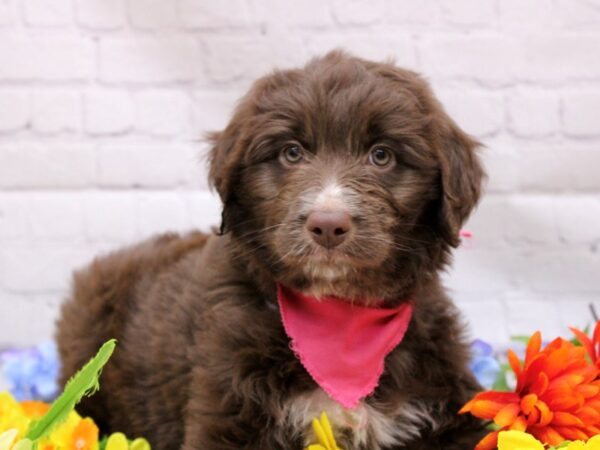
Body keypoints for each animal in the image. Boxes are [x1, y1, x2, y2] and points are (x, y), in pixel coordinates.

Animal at [56, 51, 488, 450]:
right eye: (291, 153)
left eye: (381, 155)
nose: (327, 225)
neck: (338, 317)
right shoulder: (226, 407)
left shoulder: (445, 405)